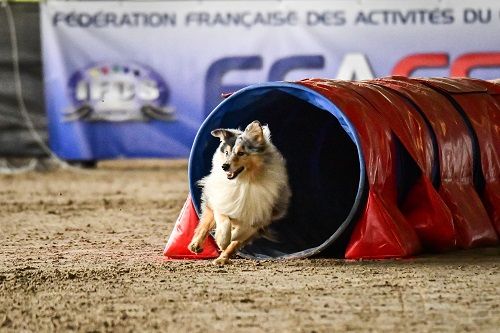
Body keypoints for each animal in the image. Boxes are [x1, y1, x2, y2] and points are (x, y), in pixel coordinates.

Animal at [188, 120, 292, 264]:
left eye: (241, 153)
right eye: (226, 153)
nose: (224, 166)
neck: (243, 182)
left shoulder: (261, 216)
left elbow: (242, 233)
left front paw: (232, 238)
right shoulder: (222, 202)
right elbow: (223, 221)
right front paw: (222, 240)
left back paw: (221, 259)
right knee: (205, 225)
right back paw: (195, 245)